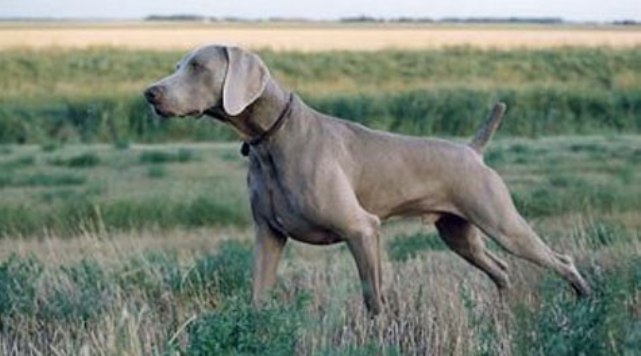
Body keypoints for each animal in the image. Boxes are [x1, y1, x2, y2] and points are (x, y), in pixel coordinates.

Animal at [145, 45, 592, 314]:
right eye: (176, 66)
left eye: (198, 66)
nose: (150, 93)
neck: (271, 139)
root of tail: (472, 149)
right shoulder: (269, 235)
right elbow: (258, 294)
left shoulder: (362, 229)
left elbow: (374, 298)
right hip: (458, 233)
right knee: (500, 269)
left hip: (502, 222)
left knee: (560, 260)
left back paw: (586, 303)